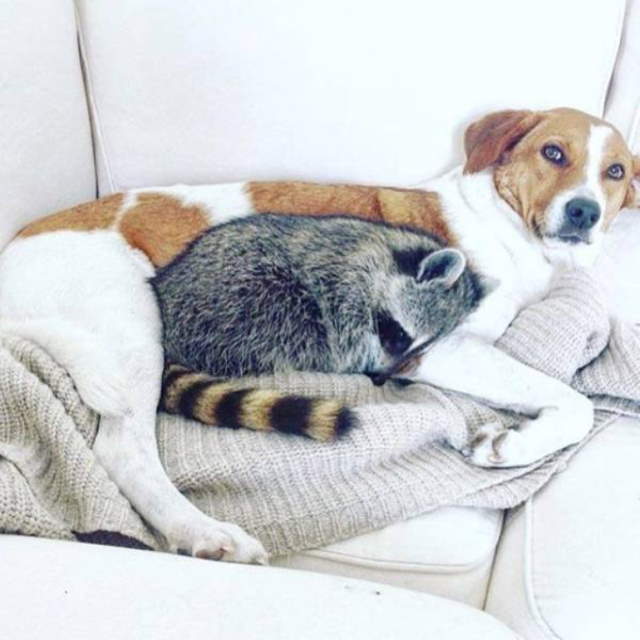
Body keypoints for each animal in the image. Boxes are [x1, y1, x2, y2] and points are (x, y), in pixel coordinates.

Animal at [151, 214, 485, 441]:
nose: (380, 377)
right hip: (236, 301)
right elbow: (342, 339)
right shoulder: (344, 284)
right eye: (401, 336)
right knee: (294, 320)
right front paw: (358, 363)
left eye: (420, 349)